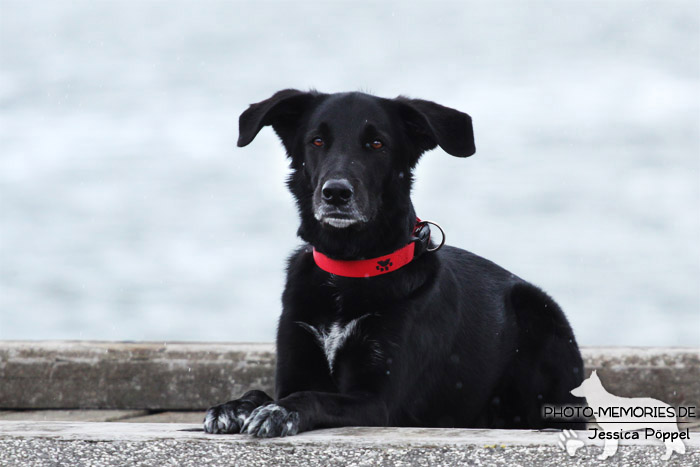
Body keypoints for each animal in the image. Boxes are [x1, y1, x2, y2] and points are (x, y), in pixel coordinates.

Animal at [204, 88, 584, 438]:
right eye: (317, 140)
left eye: (376, 143)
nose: (336, 193)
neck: (349, 270)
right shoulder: (295, 363)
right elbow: (263, 392)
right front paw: (233, 407)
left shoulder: (378, 402)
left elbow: (313, 397)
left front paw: (279, 412)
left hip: (536, 316)